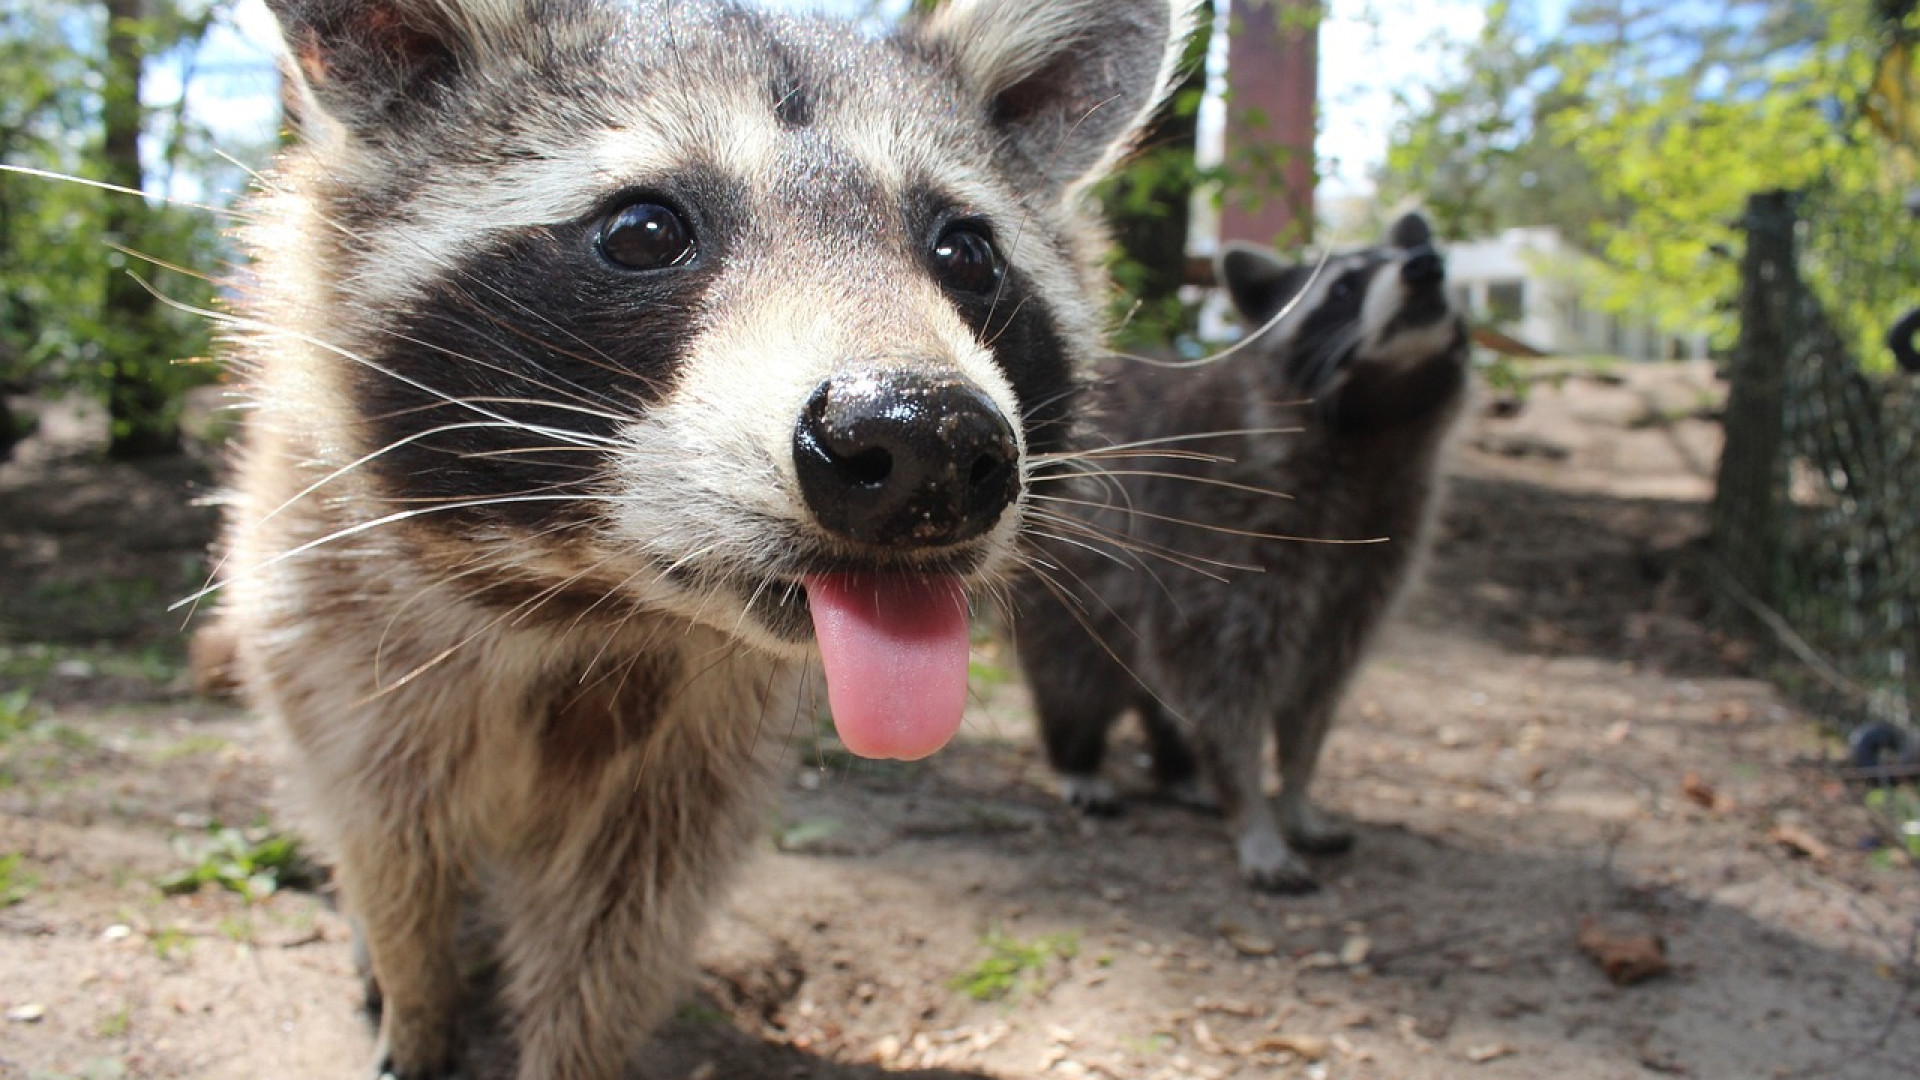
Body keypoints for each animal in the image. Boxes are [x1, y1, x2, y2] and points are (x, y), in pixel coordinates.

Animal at [210, 2, 1190, 1076]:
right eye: (645, 231)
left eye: (967, 252)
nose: (925, 441)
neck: (596, 598)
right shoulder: (334, 618)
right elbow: (388, 838)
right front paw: (417, 991)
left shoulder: (695, 755)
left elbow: (624, 921)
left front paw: (570, 1052)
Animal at [1021, 212, 1466, 891]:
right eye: (1344, 288)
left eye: (1430, 257)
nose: (1425, 267)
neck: (1373, 430)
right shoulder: (1220, 527)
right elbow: (1223, 686)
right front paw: (1252, 810)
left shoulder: (1375, 553)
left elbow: (1315, 692)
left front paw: (1297, 793)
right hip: (1065, 580)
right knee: (1073, 673)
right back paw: (1079, 759)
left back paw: (1178, 769)